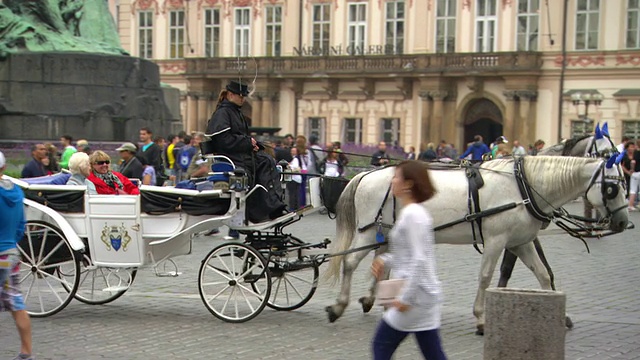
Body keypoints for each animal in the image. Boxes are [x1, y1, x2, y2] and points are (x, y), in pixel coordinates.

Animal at [324, 155, 624, 332]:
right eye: (612, 188)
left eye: (622, 184)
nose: (622, 223)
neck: (522, 187)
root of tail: (364, 175)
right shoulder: (496, 240)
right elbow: (485, 276)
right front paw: (481, 317)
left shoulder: (520, 243)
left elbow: (543, 276)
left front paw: (561, 315)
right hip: (367, 232)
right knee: (350, 262)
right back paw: (339, 306)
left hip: (386, 233)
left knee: (380, 265)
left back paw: (376, 300)